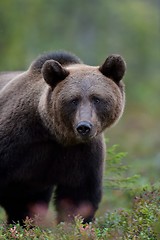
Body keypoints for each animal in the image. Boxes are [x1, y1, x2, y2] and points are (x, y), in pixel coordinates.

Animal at [0, 50, 125, 225]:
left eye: (97, 98)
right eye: (73, 100)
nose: (84, 127)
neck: (55, 135)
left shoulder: (82, 155)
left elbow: (79, 197)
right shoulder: (17, 143)